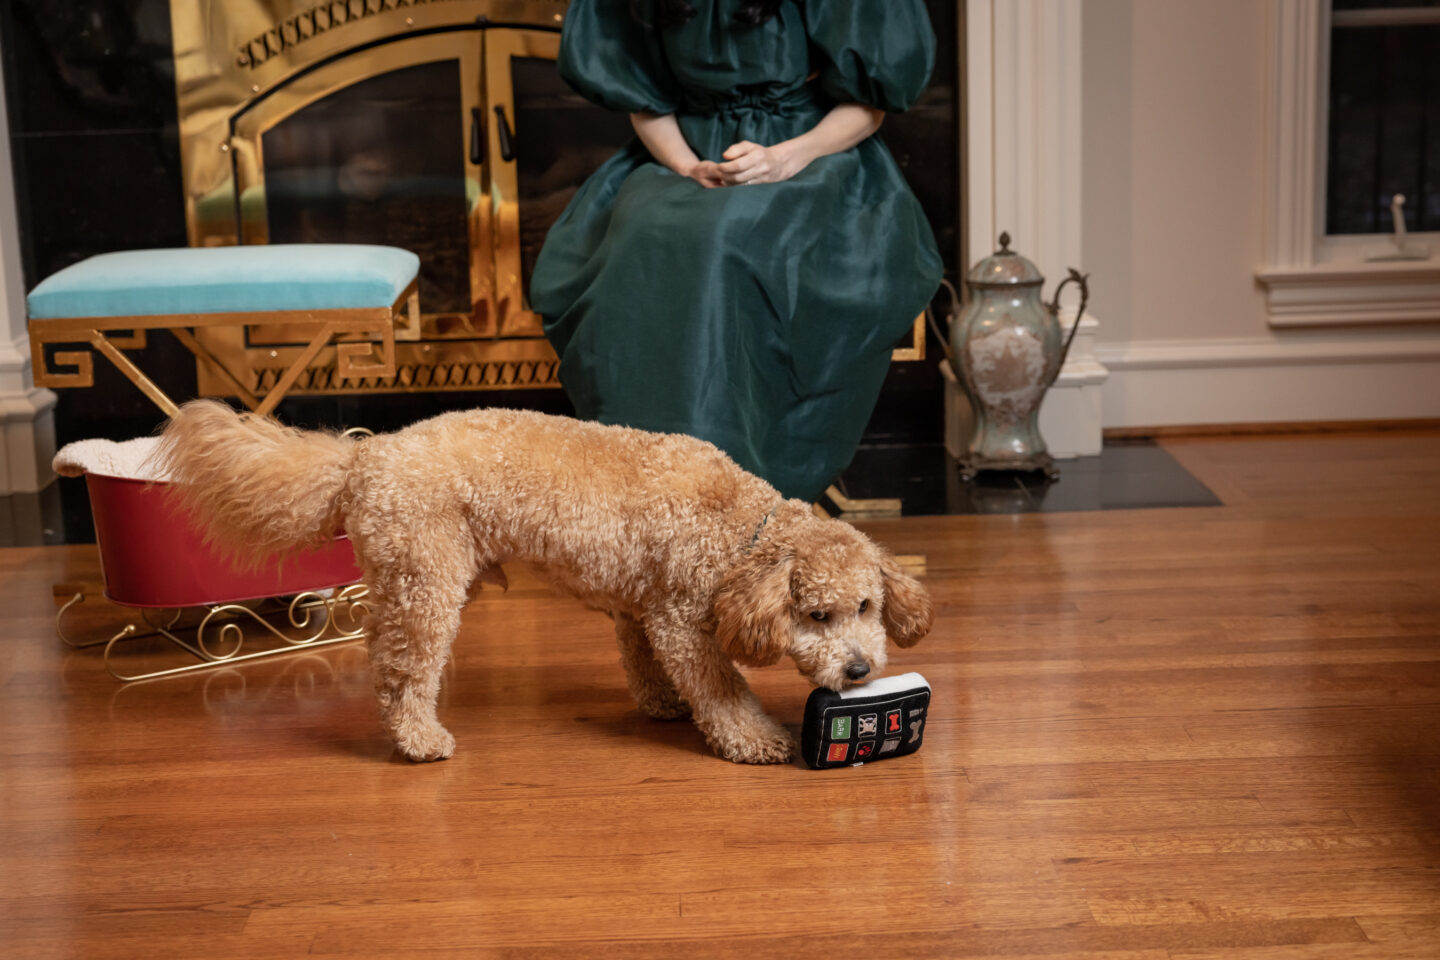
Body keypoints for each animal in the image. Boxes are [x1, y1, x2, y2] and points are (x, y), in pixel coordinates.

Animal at [154, 402, 921, 765]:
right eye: (817, 615)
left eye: (867, 606)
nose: (859, 671)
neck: (743, 532)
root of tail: (364, 457)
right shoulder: (680, 618)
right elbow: (723, 691)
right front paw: (755, 740)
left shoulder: (639, 611)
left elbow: (646, 665)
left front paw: (662, 705)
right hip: (426, 584)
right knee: (403, 676)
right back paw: (419, 740)